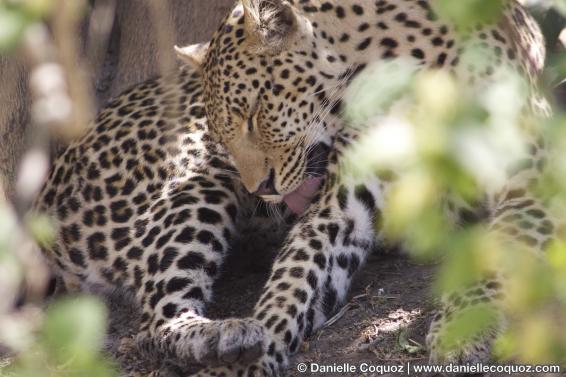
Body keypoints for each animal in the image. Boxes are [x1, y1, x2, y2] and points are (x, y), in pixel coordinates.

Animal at [175, 0, 560, 374]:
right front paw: (249, 351)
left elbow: (493, 257)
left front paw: (461, 329)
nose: (261, 188)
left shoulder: (534, 172)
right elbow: (292, 275)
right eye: (223, 136)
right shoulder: (342, 202)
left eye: (254, 112)